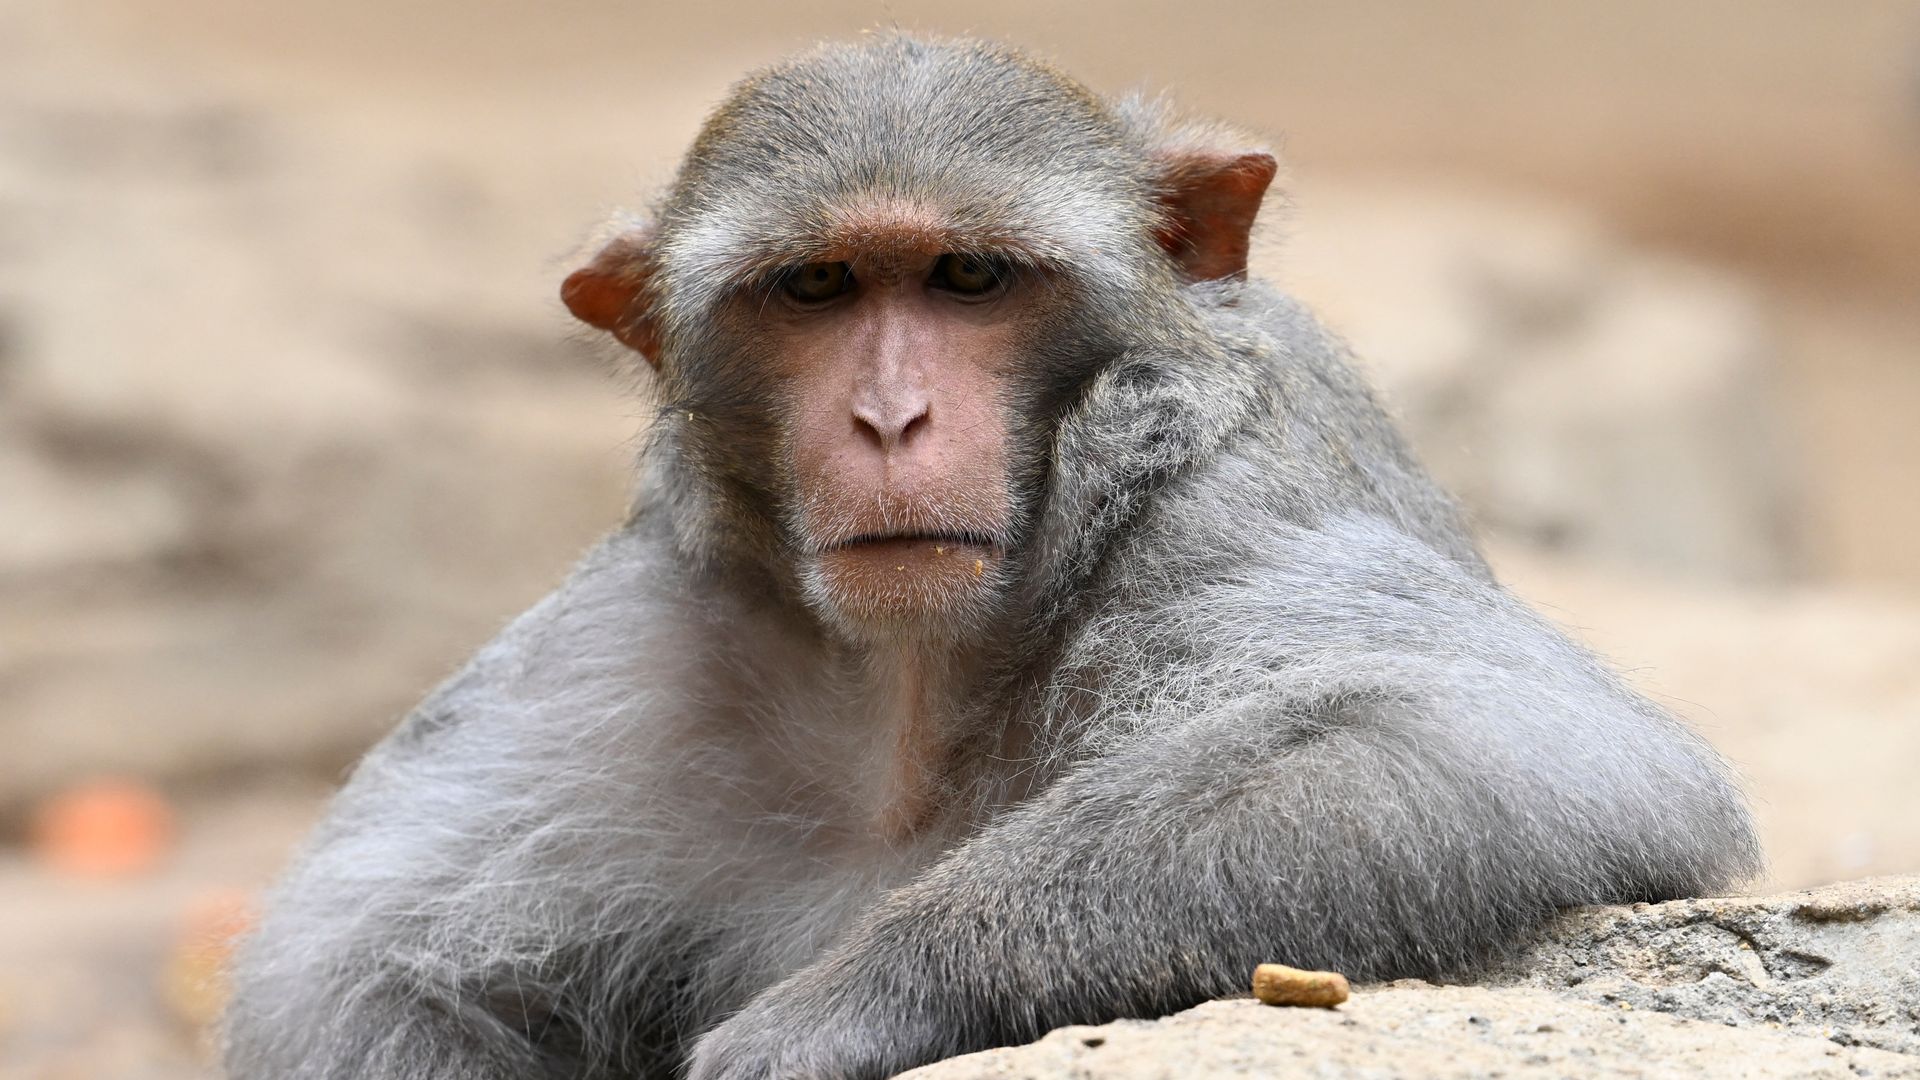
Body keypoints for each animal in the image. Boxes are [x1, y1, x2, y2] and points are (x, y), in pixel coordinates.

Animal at [222, 35, 1761, 1080]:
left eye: (967, 278)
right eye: (817, 287)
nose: (890, 417)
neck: (912, 686)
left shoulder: (1219, 511)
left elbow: (1498, 730)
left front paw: (852, 999)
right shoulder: (644, 634)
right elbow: (347, 969)